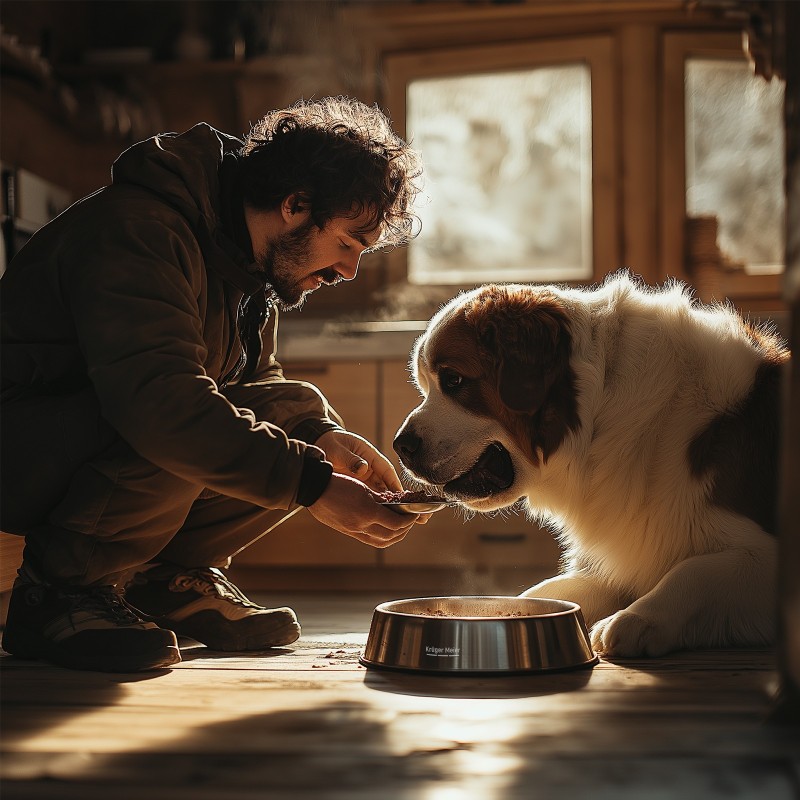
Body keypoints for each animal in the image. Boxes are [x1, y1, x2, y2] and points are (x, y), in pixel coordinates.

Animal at [394, 272, 788, 660]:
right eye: (425, 386)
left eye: (454, 380)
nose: (401, 446)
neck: (603, 410)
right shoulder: (622, 553)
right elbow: (551, 589)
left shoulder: (761, 553)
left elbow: (692, 570)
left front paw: (637, 619)